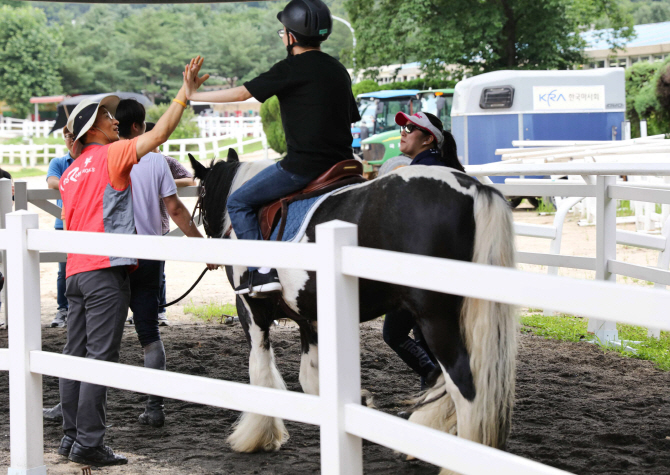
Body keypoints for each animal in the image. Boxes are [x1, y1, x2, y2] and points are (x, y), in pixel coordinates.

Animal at [190, 152, 520, 468]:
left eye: (201, 195)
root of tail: (474, 189)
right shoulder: (310, 318)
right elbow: (312, 379)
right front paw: (358, 404)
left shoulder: (251, 310)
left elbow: (260, 372)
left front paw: (258, 437)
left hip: (437, 320)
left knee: (465, 388)